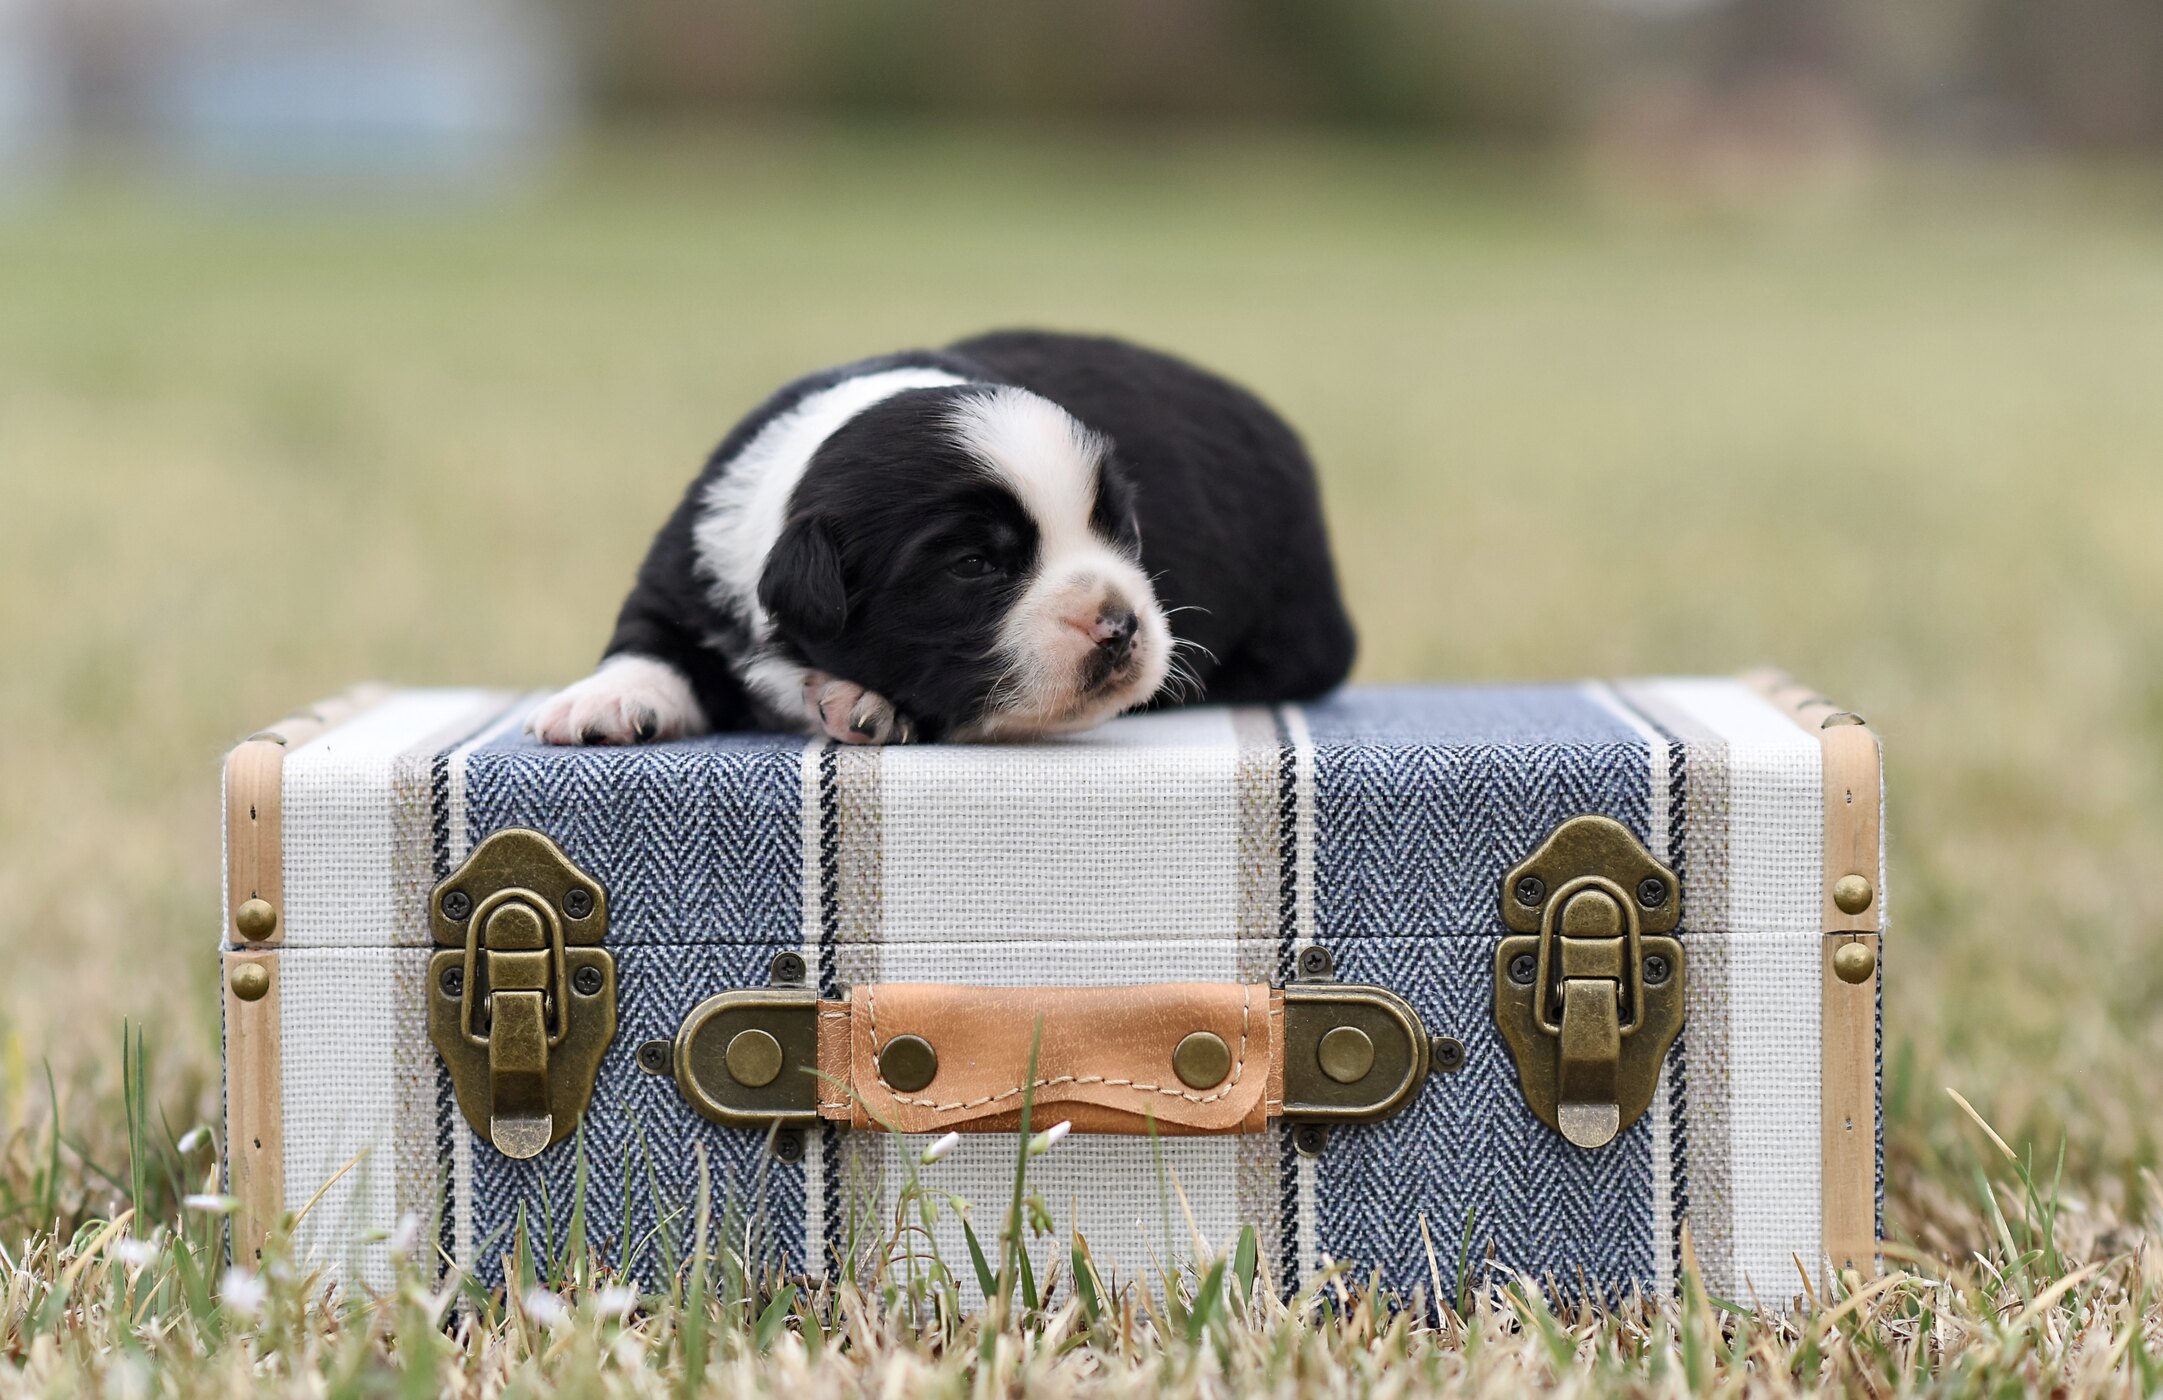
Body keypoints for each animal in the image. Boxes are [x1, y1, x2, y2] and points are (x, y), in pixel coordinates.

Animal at [529, 330, 1355, 746]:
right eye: (973, 564)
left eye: (1118, 530)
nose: (1119, 626)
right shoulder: (684, 561)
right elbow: (649, 638)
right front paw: (604, 699)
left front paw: (846, 699)